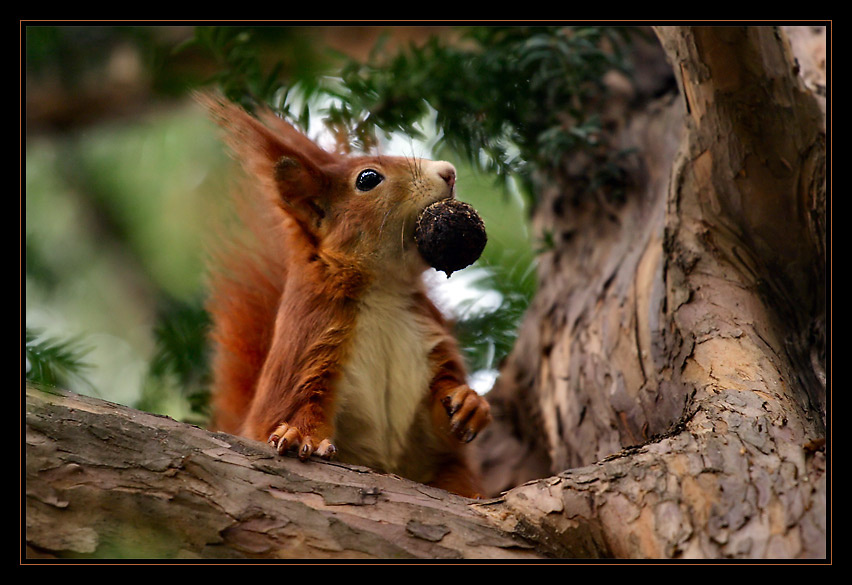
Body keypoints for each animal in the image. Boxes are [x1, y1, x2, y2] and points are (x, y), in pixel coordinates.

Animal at [201, 95, 492, 499]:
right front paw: (297, 435)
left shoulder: (430, 339)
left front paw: (469, 402)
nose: (448, 172)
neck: (383, 293)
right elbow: (291, 412)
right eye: (368, 179)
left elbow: (437, 431)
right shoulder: (311, 340)